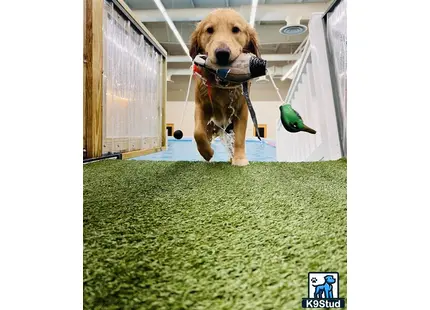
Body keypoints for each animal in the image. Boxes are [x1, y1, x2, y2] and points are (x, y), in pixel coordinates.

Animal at [191, 8, 258, 166]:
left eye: (236, 29)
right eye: (209, 30)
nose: (222, 53)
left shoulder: (242, 110)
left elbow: (239, 138)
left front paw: (239, 159)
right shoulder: (200, 106)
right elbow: (198, 132)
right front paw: (207, 153)